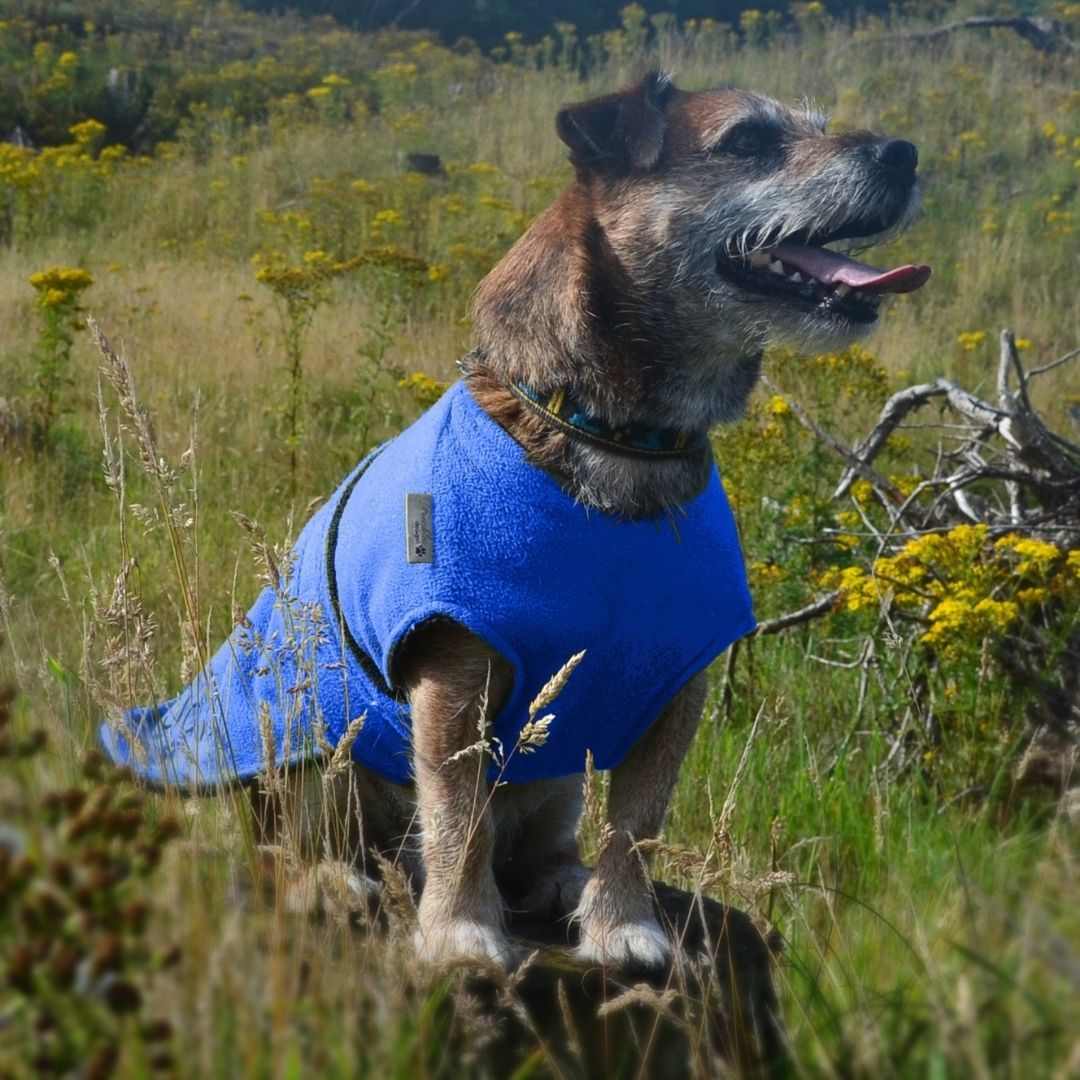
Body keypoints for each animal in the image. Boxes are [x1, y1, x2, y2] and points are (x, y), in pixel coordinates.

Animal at [103, 73, 928, 972]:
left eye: (816, 124)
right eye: (747, 140)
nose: (903, 152)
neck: (612, 432)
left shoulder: (676, 686)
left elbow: (637, 823)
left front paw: (625, 926)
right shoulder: (459, 672)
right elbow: (458, 816)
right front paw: (461, 931)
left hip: (555, 771)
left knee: (539, 844)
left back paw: (563, 884)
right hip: (318, 750)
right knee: (295, 845)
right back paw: (333, 881)